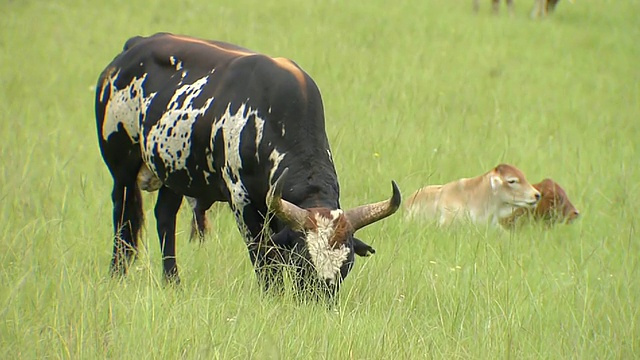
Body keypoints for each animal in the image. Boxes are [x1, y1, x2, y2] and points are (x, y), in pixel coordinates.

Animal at [95, 33, 400, 298]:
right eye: (303, 260)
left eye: (346, 266)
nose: (319, 302)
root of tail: (132, 47)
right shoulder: (242, 202)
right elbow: (264, 258)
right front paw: (273, 296)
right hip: (122, 169)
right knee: (123, 216)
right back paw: (117, 274)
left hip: (174, 171)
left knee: (165, 217)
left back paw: (173, 281)